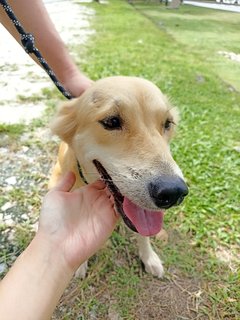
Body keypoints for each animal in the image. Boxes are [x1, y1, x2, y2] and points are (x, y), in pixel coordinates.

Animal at [48, 75, 188, 278]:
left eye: (168, 123)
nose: (174, 192)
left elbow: (143, 233)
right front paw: (79, 265)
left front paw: (149, 257)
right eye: (112, 121)